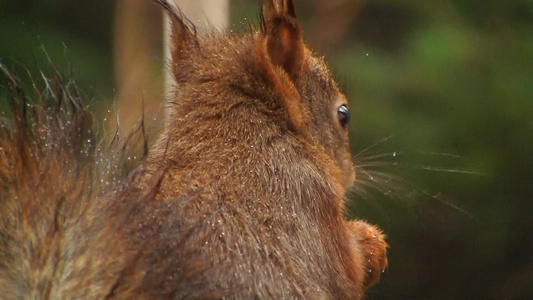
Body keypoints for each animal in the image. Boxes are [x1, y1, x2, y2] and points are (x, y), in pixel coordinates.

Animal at [0, 1, 386, 298]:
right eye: (343, 115)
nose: (352, 174)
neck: (232, 141)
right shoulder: (310, 200)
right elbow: (349, 269)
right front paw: (372, 242)